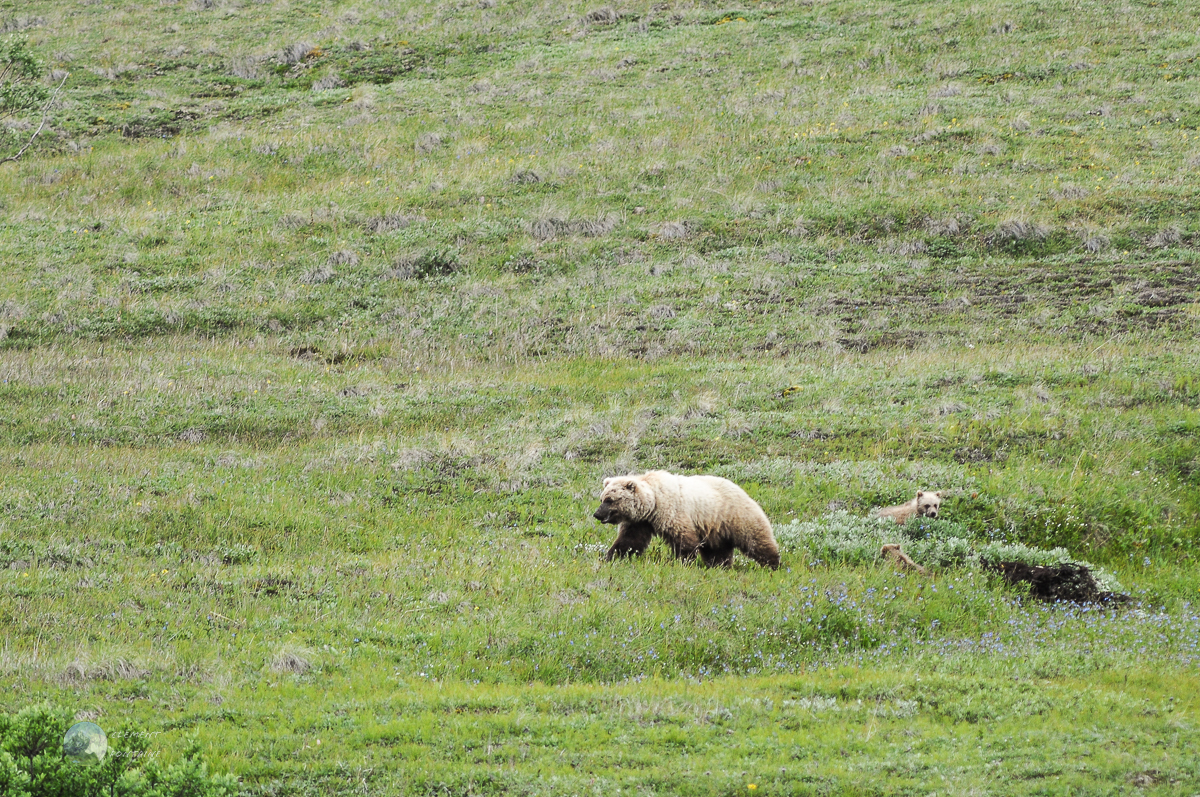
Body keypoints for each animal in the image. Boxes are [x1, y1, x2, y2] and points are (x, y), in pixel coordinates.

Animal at [588, 470, 777, 568]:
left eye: (610, 500)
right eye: (602, 498)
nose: (597, 514)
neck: (652, 503)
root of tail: (743, 490)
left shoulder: (672, 511)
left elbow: (683, 539)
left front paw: (683, 561)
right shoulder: (640, 522)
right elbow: (629, 541)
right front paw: (612, 556)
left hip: (734, 515)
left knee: (756, 539)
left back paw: (773, 564)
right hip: (715, 528)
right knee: (717, 550)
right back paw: (719, 565)